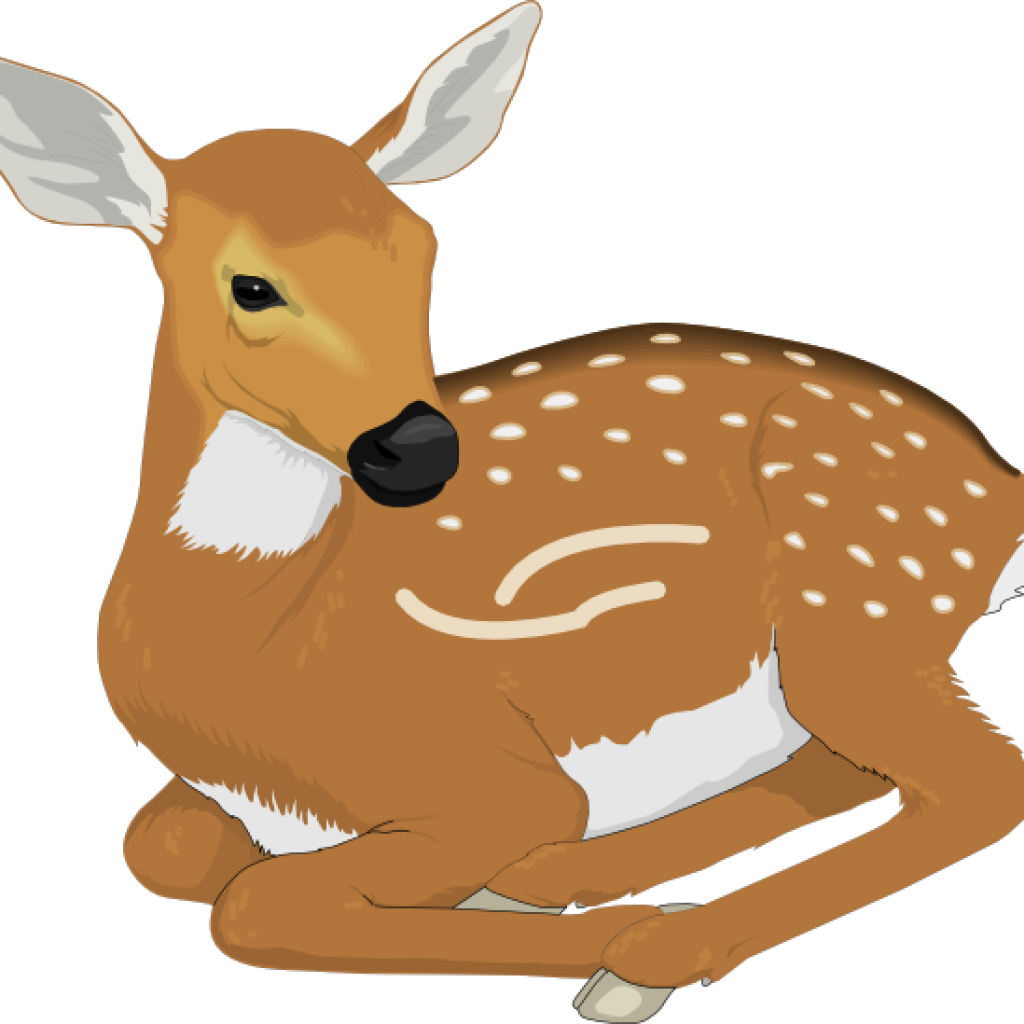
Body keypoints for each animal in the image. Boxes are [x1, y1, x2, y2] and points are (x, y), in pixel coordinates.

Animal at [3, 4, 1022, 1021]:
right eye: (251, 286)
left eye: (422, 255)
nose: (419, 447)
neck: (266, 638)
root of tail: (1002, 484)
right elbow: (159, 850)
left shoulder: (487, 771)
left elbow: (252, 905)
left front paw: (594, 939)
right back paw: (583, 881)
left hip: (855, 584)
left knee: (984, 781)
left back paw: (642, 942)